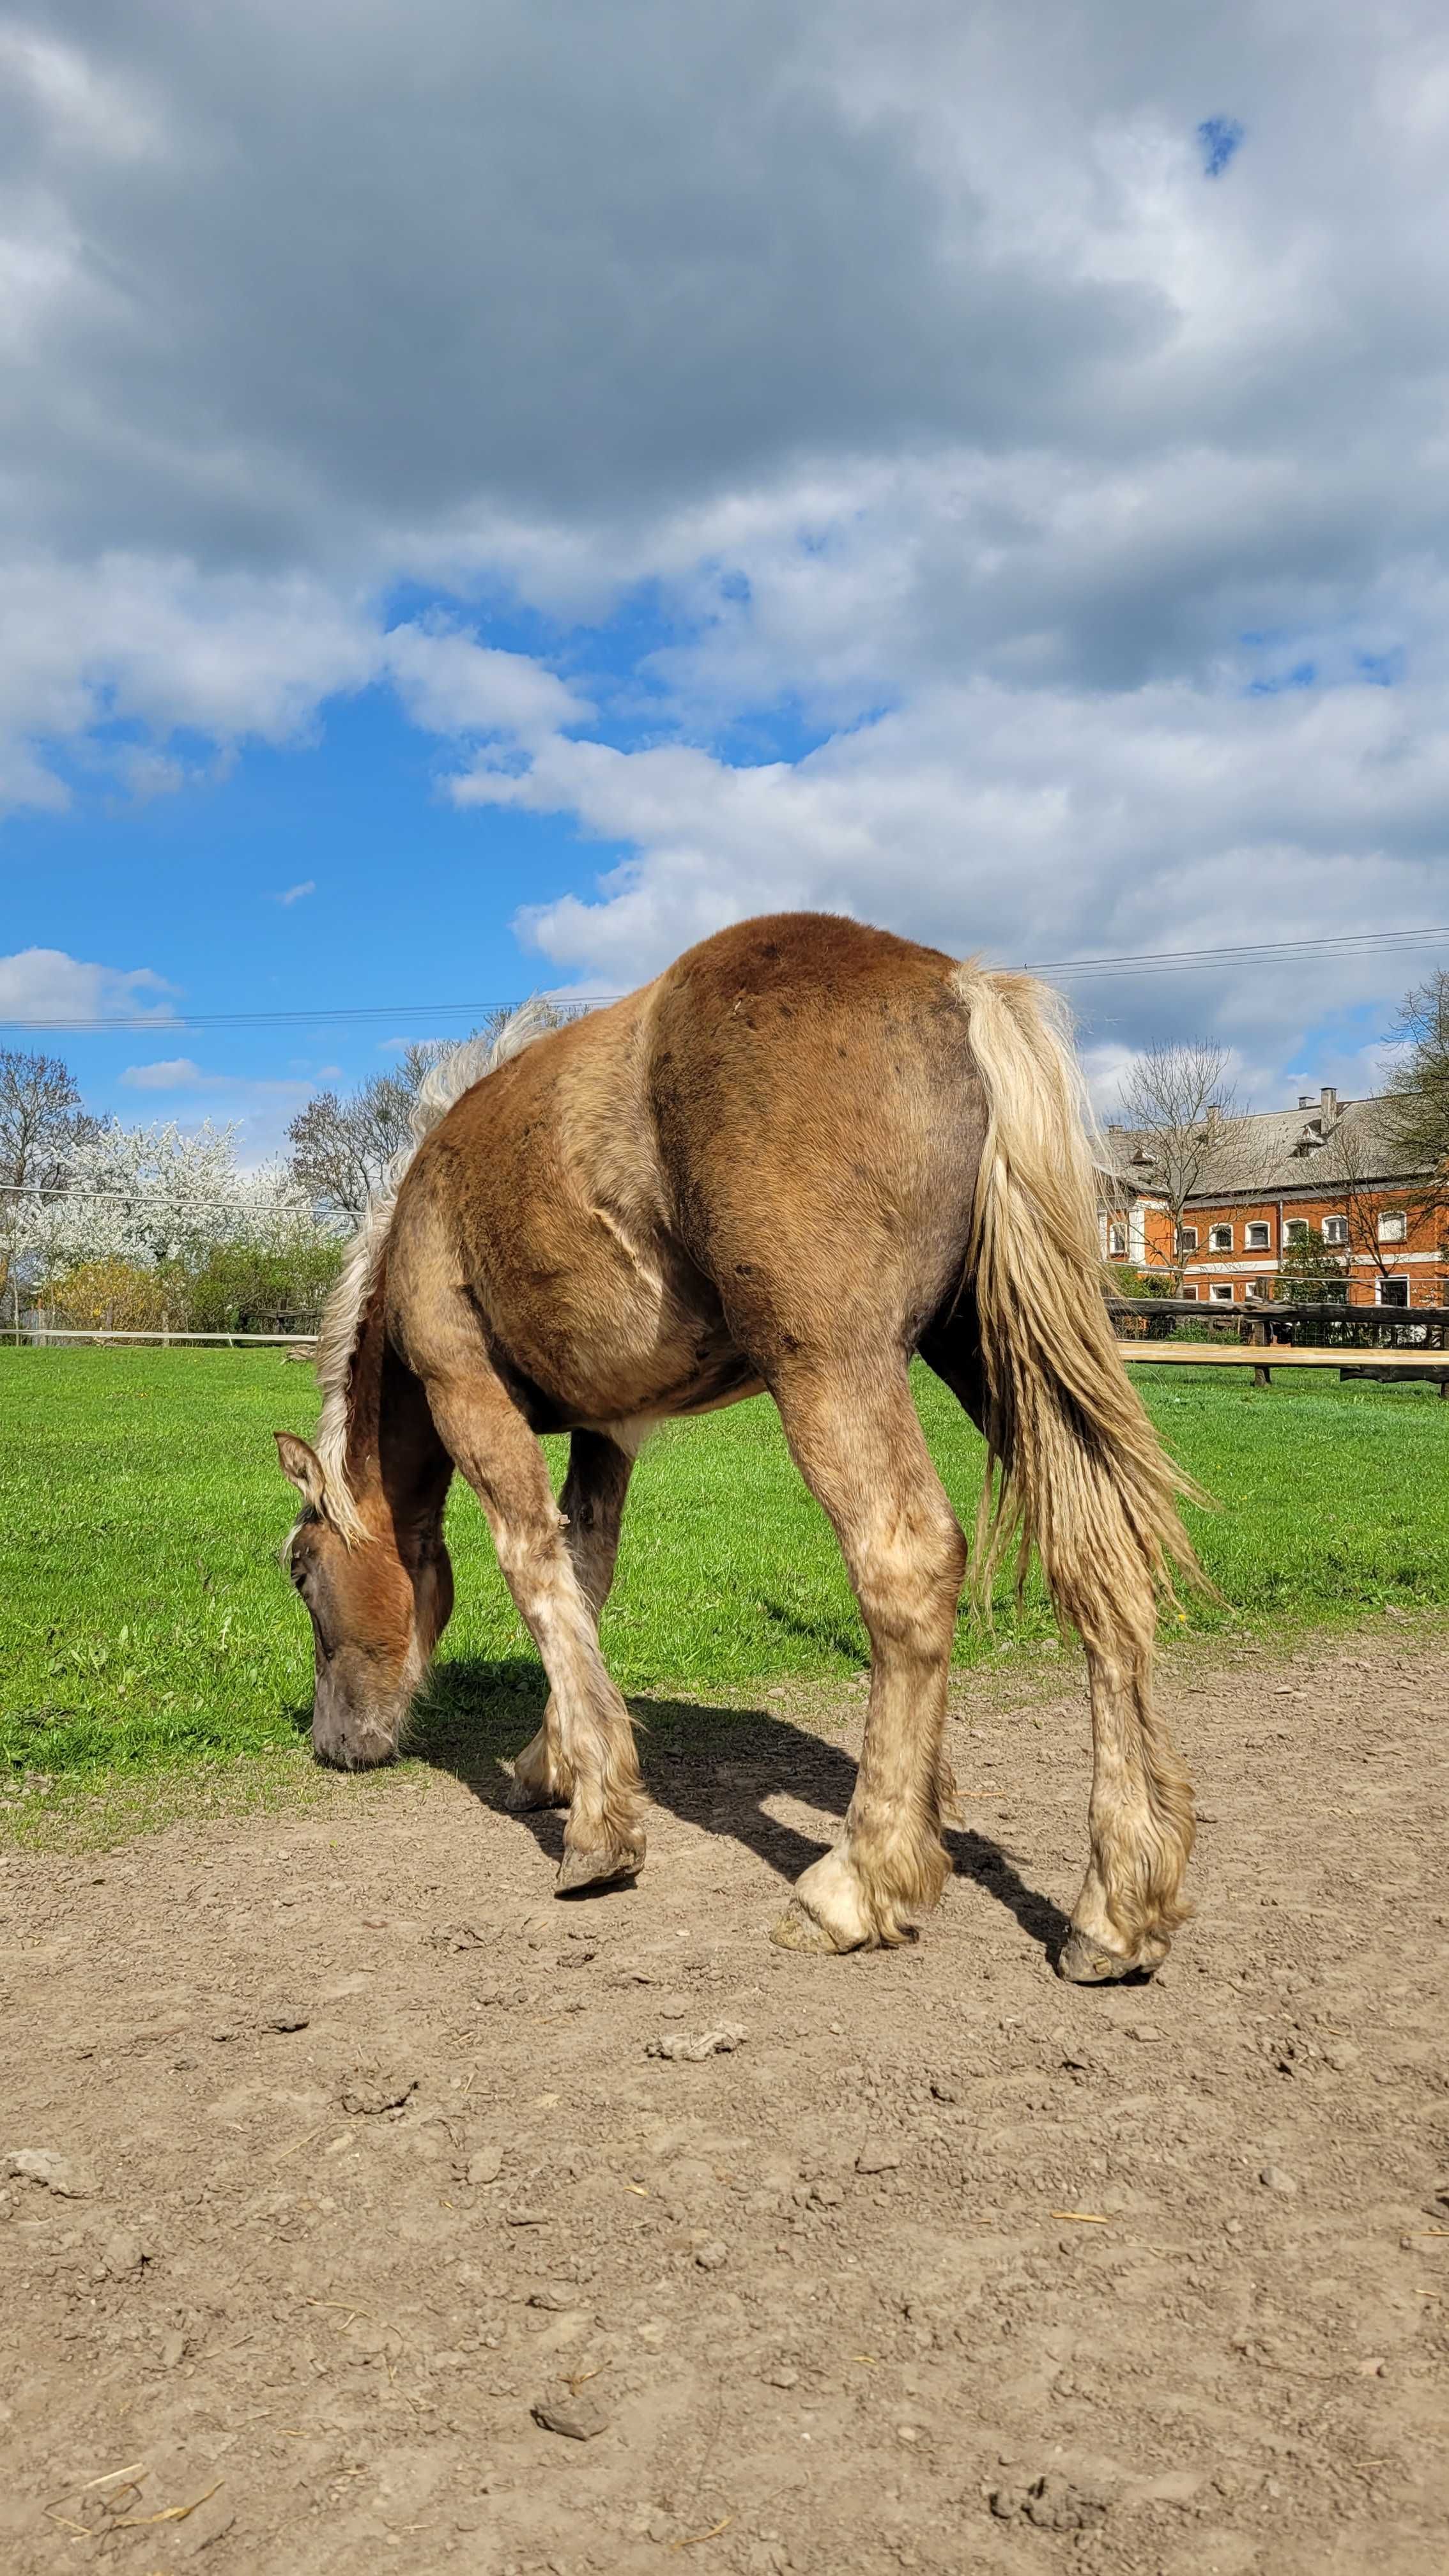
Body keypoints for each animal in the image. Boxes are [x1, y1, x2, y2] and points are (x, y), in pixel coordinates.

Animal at [275, 917, 1201, 1978]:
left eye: (300, 1570)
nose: (334, 1744)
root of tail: (959, 989)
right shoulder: (608, 1427)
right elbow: (586, 1575)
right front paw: (555, 1765)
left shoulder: (467, 1392)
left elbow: (534, 1571)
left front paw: (598, 1833)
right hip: (990, 1351)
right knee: (1100, 1561)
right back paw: (1114, 1906)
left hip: (834, 1365)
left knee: (909, 1565)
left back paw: (855, 1884)